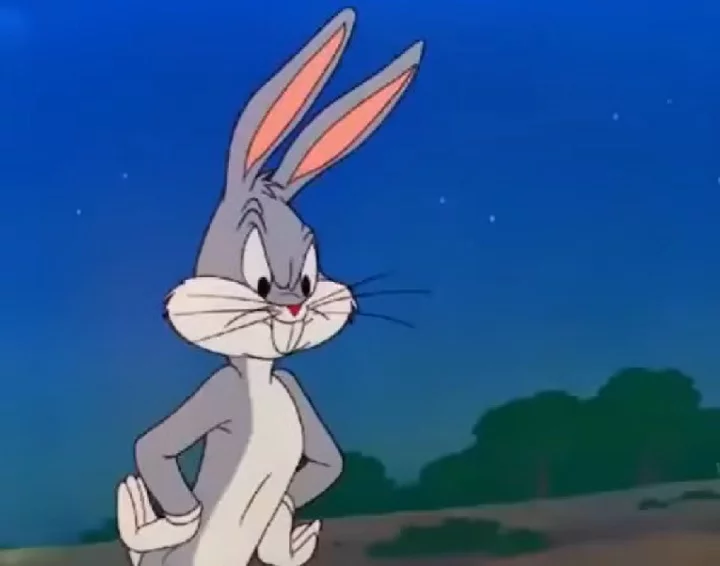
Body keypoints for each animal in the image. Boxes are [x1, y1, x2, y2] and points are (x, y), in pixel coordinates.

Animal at [114, 7, 423, 566]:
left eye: (307, 276)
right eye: (258, 278)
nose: (295, 308)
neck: (259, 378)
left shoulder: (295, 389)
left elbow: (328, 463)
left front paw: (286, 525)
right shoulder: (219, 392)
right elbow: (154, 446)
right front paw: (171, 521)